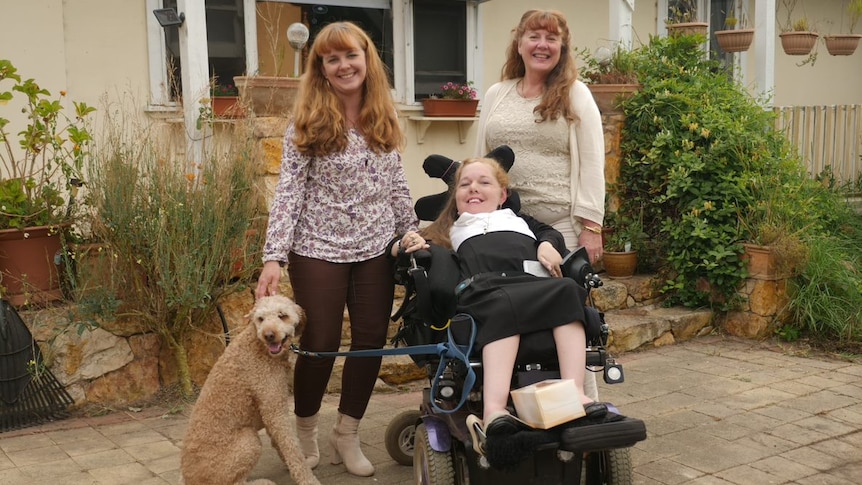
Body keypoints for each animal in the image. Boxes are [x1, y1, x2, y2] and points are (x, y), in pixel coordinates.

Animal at [182, 294, 320, 484]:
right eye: (260, 319)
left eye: (282, 315)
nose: (269, 335)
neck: (258, 344)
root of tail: (188, 480)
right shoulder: (275, 411)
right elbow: (292, 448)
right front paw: (307, 479)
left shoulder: (270, 413)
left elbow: (283, 445)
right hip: (249, 440)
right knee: (237, 482)